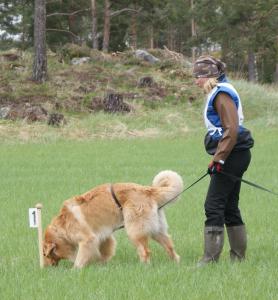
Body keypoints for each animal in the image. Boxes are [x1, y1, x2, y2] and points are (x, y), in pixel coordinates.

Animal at [43, 170, 182, 268]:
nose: (46, 268)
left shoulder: (88, 239)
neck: (62, 226)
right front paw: (101, 266)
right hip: (157, 230)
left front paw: (74, 270)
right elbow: (104, 253)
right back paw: (176, 263)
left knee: (145, 251)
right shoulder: (104, 237)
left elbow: (80, 259)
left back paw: (143, 267)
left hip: (135, 230)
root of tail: (147, 190)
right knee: (170, 246)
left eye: (46, 254)